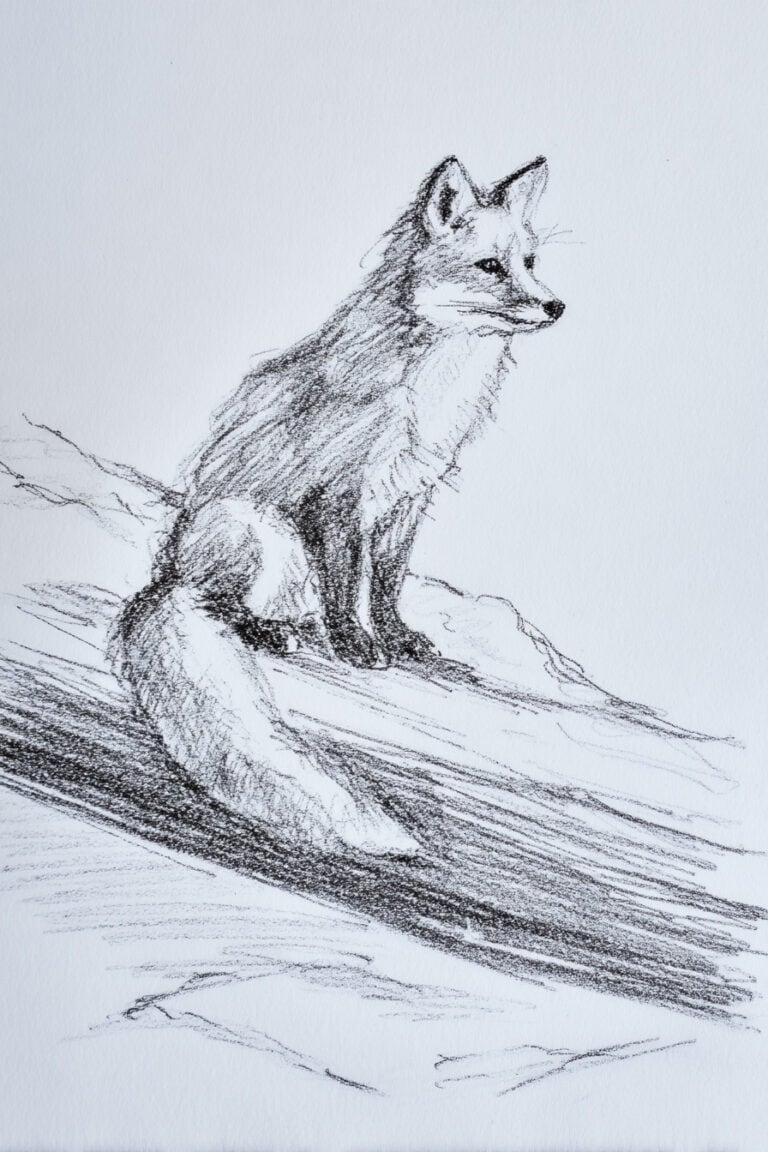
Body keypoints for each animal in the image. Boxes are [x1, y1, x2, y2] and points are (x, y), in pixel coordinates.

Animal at [114, 155, 565, 856]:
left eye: (531, 260)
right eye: (491, 267)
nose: (556, 305)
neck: (431, 392)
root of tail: (164, 574)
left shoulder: (409, 496)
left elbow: (385, 584)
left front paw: (398, 639)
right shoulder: (341, 498)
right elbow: (346, 583)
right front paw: (356, 645)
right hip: (259, 535)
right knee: (221, 603)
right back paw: (266, 631)